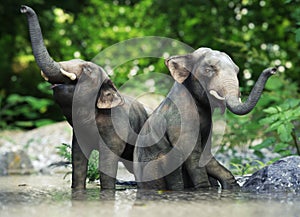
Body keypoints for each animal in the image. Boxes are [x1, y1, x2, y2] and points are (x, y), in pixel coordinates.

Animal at [134, 47, 276, 190]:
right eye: (209, 70)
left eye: (237, 70)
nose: (273, 69)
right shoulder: (181, 120)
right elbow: (192, 155)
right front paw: (204, 189)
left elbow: (205, 153)